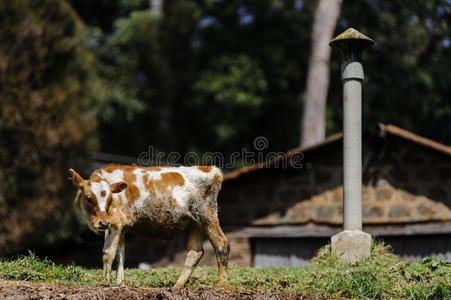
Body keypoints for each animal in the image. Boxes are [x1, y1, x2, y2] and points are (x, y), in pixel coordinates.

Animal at [69, 164, 231, 288]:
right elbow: (120, 254)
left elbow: (108, 254)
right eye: (88, 198)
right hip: (195, 223)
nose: (103, 222)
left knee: (221, 243)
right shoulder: (121, 227)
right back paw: (177, 286)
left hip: (207, 216)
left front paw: (104, 283)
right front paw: (120, 283)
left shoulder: (115, 223)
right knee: (195, 252)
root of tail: (210, 169)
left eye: (110, 199)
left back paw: (221, 284)